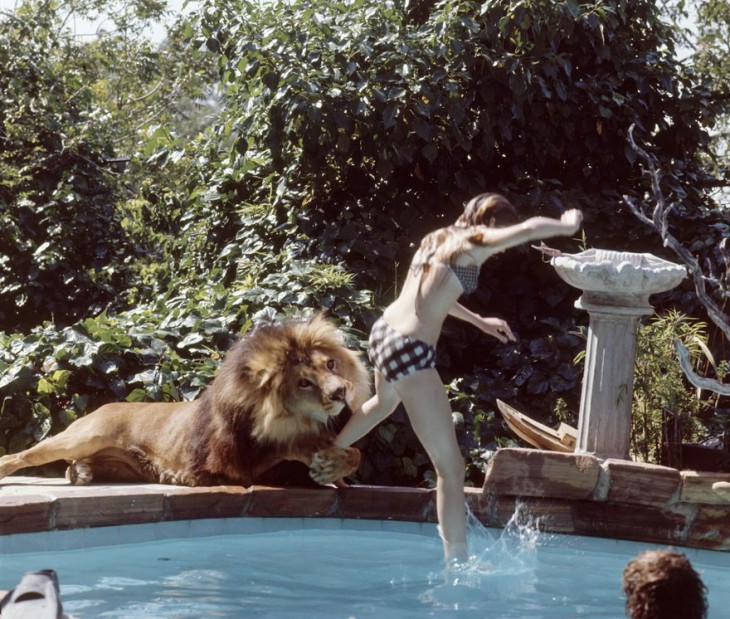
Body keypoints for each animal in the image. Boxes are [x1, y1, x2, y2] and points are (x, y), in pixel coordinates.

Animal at [0, 318, 370, 486]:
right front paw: (323, 458)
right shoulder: (232, 465)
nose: (341, 392)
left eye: (330, 364)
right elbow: (285, 447)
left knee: (74, 466)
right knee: (23, 455)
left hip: (124, 466)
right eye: (304, 382)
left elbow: (354, 453)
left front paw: (335, 464)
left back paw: (81, 473)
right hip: (84, 436)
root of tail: (105, 404)